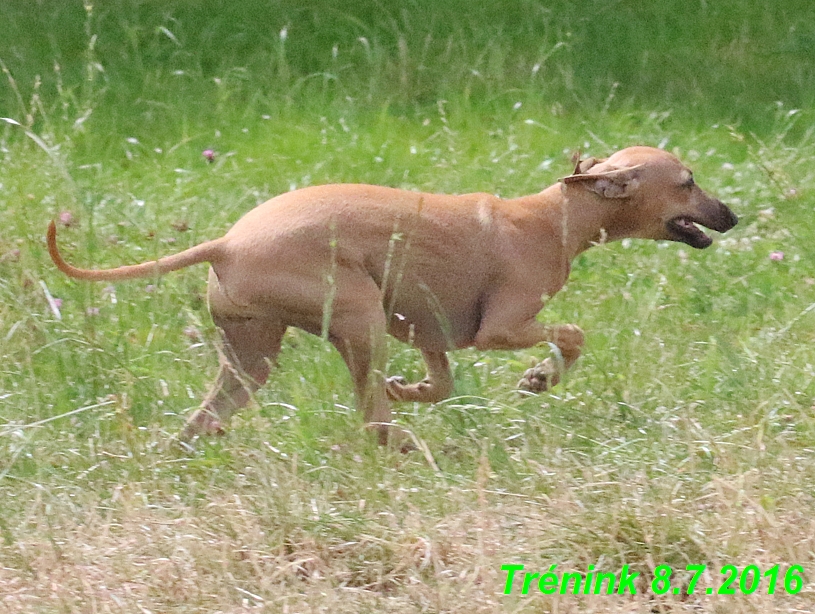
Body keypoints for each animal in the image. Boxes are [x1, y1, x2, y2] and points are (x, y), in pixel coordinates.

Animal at [49, 146, 740, 442]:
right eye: (688, 181)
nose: (733, 215)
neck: (552, 217)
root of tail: (224, 243)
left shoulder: (429, 331)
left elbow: (440, 384)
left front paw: (409, 388)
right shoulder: (498, 328)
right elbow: (571, 335)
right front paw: (540, 378)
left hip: (253, 357)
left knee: (203, 420)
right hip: (356, 315)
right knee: (374, 423)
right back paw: (409, 443)